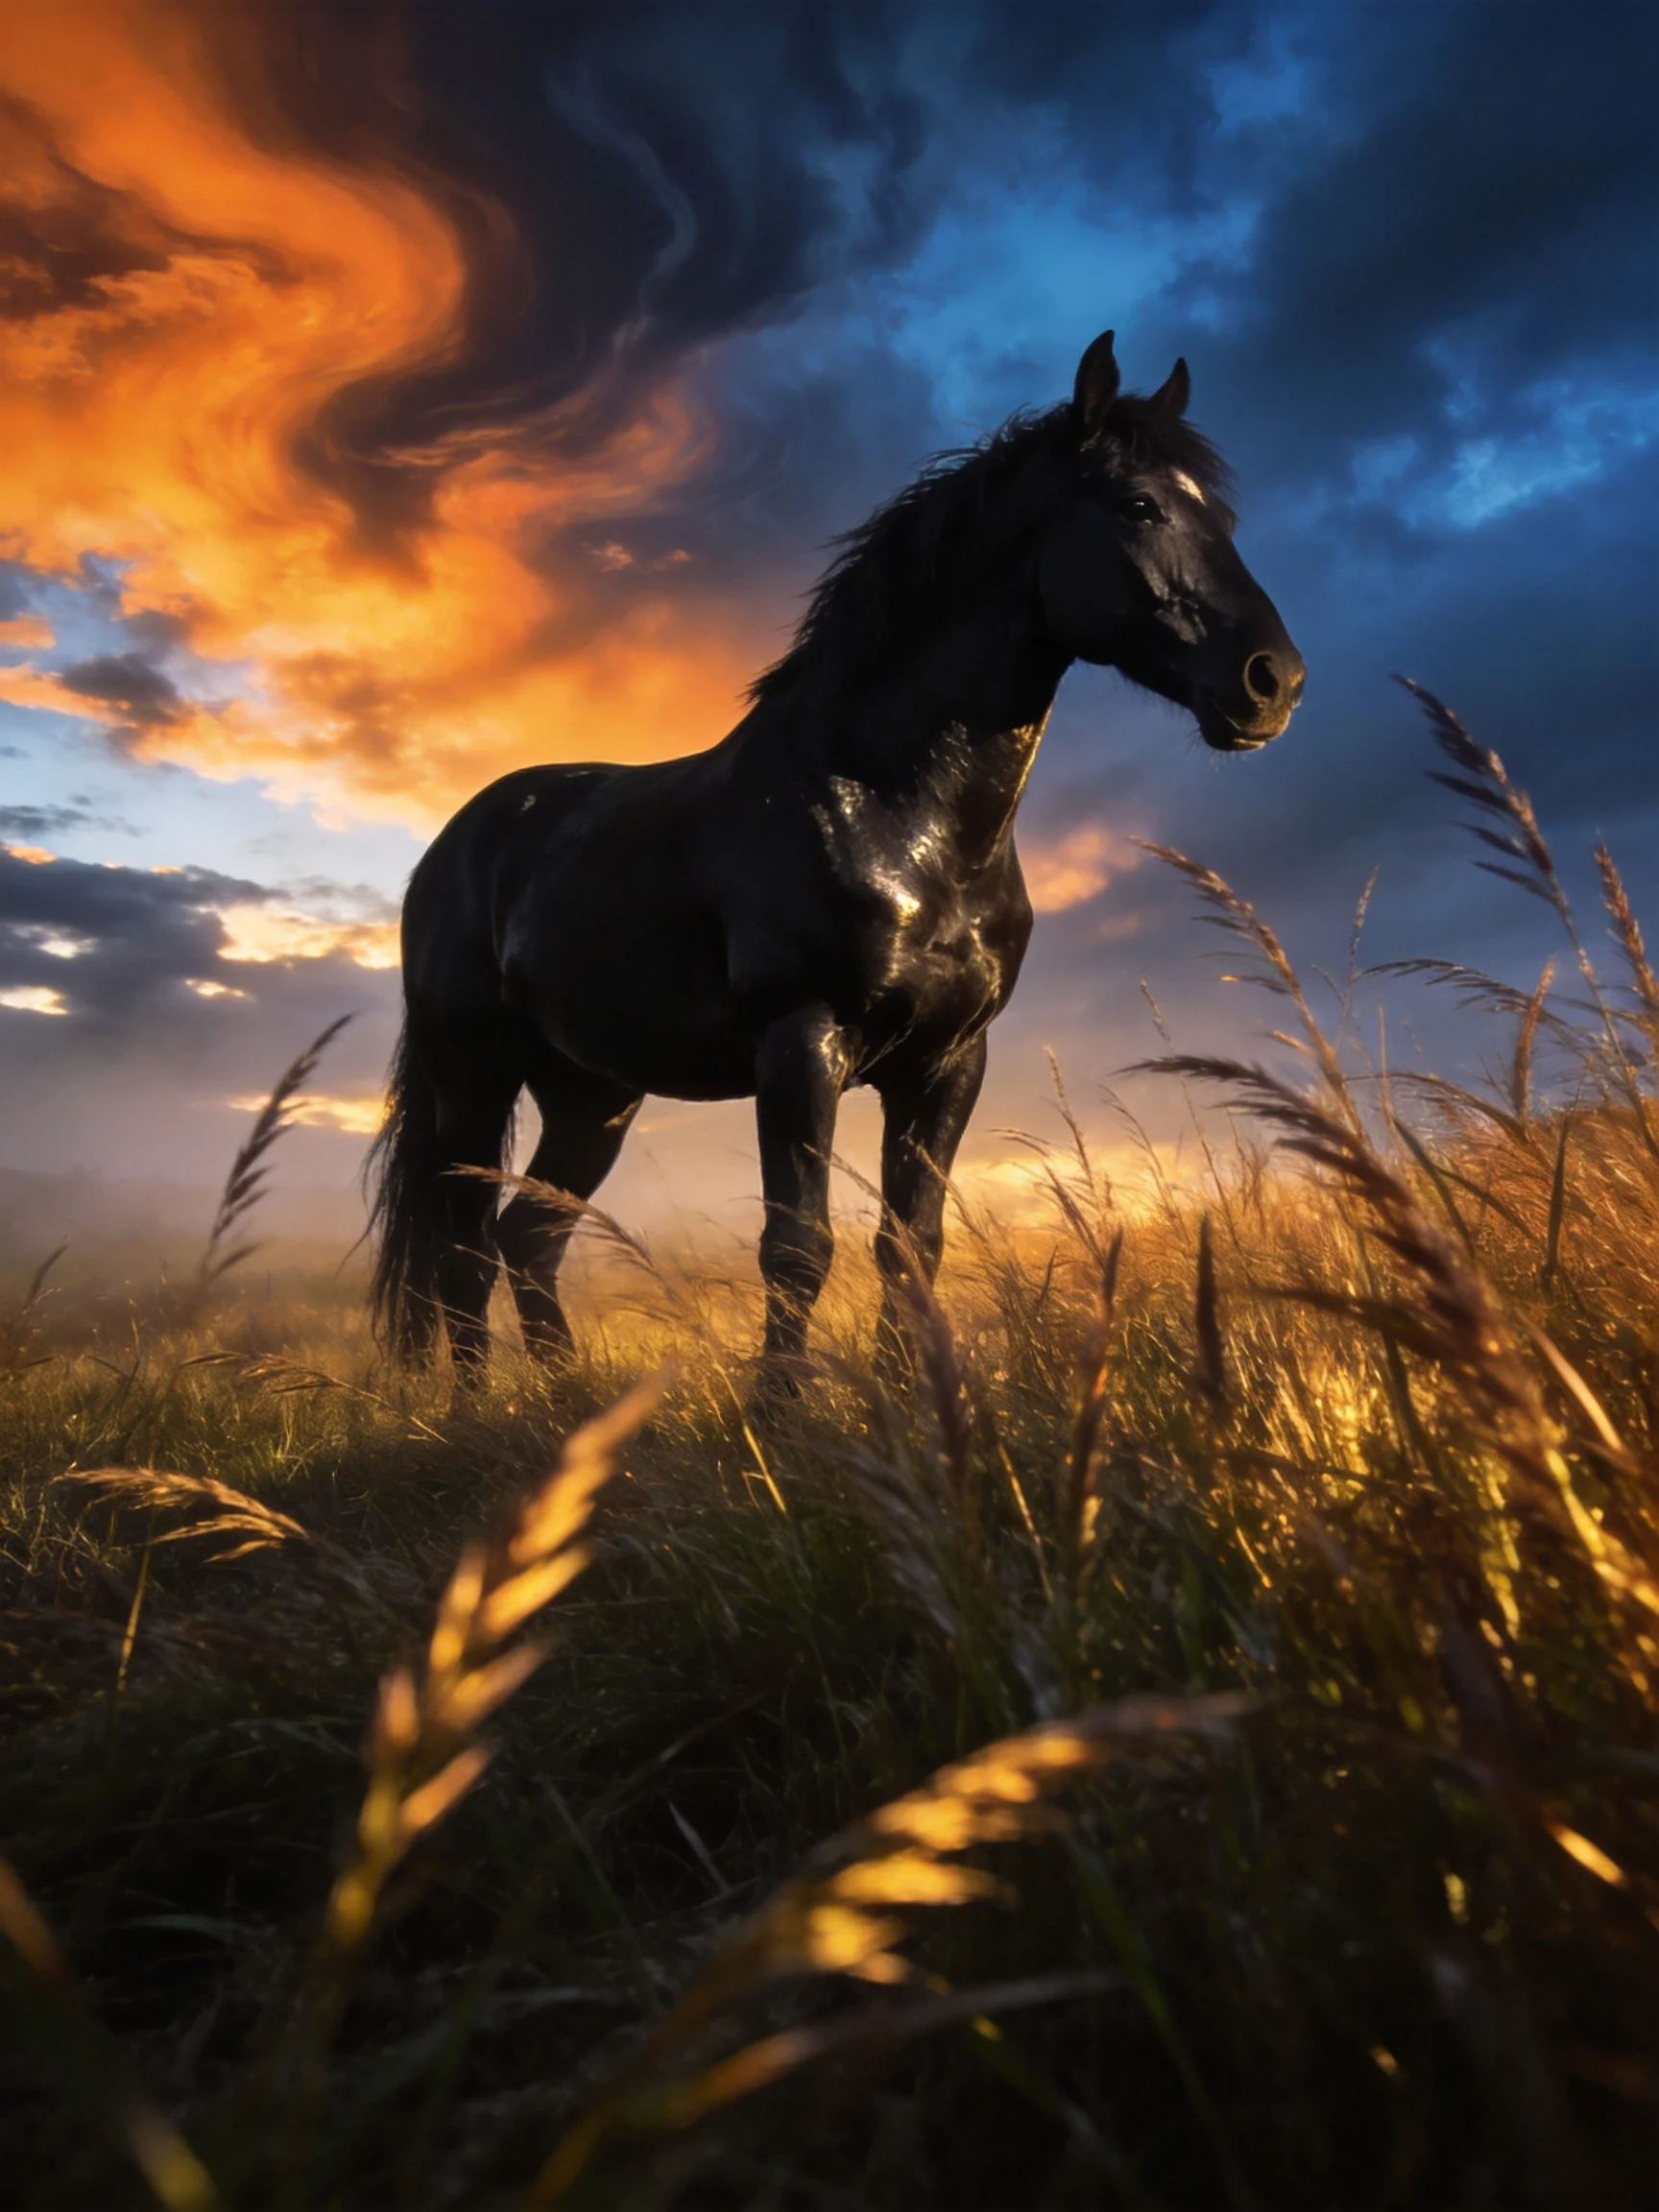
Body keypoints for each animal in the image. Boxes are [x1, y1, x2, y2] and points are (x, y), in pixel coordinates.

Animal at [368, 329, 1304, 1386]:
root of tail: (452, 848)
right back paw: (478, 1410)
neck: (896, 817)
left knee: (529, 1238)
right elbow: (798, 1247)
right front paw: (778, 1411)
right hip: (473, 1078)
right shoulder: (801, 1043)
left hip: (592, 1093)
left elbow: (910, 1245)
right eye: (1139, 505)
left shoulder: (947, 1063)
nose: (1273, 682)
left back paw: (564, 1405)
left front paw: (911, 1406)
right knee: (461, 1252)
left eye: (1223, 514)